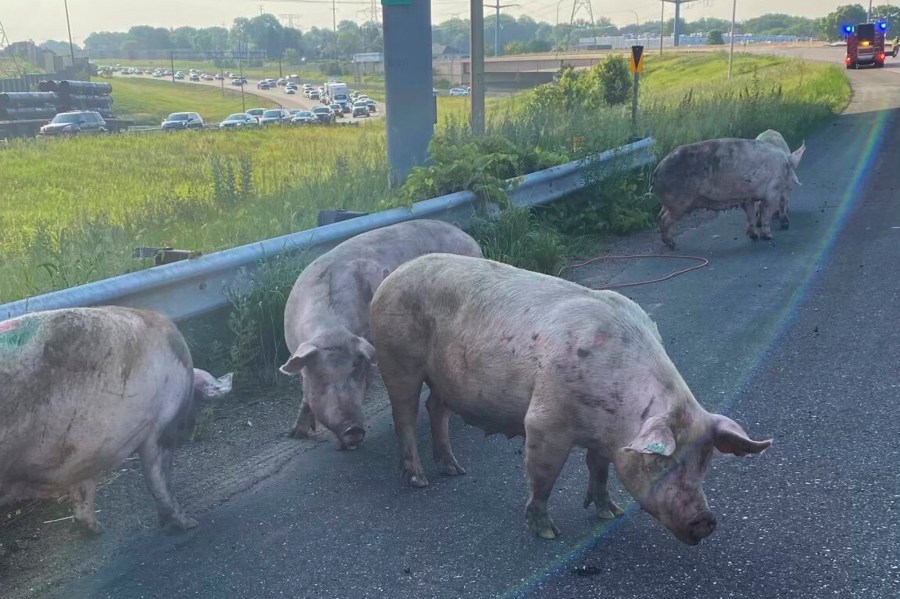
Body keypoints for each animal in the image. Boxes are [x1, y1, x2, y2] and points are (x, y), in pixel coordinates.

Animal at [0, 310, 232, 536]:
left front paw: (95, 530)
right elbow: (158, 479)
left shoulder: (89, 451)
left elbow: (84, 489)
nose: (189, 429)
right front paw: (189, 524)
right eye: (196, 399)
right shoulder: (159, 430)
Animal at [282, 220, 482, 450]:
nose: (353, 430)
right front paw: (295, 435)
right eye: (321, 377)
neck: (329, 330)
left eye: (356, 370)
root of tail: (469, 238)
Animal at [370, 253, 768, 544]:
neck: (615, 423)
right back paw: (419, 479)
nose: (706, 520)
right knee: (405, 418)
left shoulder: (604, 436)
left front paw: (610, 512)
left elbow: (599, 470)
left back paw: (454, 470)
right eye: (660, 462)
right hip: (397, 360)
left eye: (706, 461)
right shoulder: (544, 423)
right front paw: (547, 533)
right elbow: (543, 478)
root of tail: (390, 277)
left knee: (435, 408)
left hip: (441, 378)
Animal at [652, 138, 808, 248]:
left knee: (659, 216)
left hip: (668, 203)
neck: (785, 164)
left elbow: (750, 215)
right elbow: (765, 214)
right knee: (665, 219)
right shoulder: (771, 193)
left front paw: (753, 236)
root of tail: (657, 170)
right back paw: (672, 245)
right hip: (678, 203)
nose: (792, 187)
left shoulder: (747, 197)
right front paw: (768, 237)